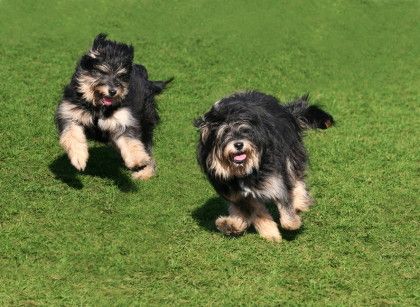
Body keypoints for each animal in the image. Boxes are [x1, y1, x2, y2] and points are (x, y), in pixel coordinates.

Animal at [55, 33, 171, 180]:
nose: (113, 91)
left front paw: (137, 160)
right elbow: (72, 134)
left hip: (146, 121)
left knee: (146, 147)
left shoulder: (123, 120)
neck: (97, 107)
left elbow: (130, 140)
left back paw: (145, 172)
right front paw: (79, 158)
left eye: (121, 75)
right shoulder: (70, 113)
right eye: (103, 71)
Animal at [194, 91, 334, 243]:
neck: (242, 173)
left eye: (244, 130)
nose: (239, 144)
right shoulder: (240, 195)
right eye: (224, 132)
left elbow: (284, 202)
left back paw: (299, 203)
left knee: (296, 179)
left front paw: (292, 222)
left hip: (290, 152)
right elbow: (257, 214)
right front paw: (270, 234)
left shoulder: (274, 179)